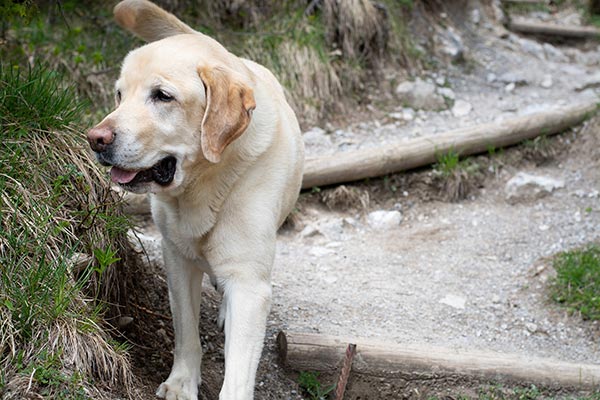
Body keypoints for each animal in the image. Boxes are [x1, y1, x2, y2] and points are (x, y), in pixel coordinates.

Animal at [84, 1, 304, 398]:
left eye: (162, 96)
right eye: (120, 95)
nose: (96, 139)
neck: (204, 184)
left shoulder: (249, 283)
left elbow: (238, 372)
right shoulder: (176, 259)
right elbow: (185, 330)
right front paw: (181, 382)